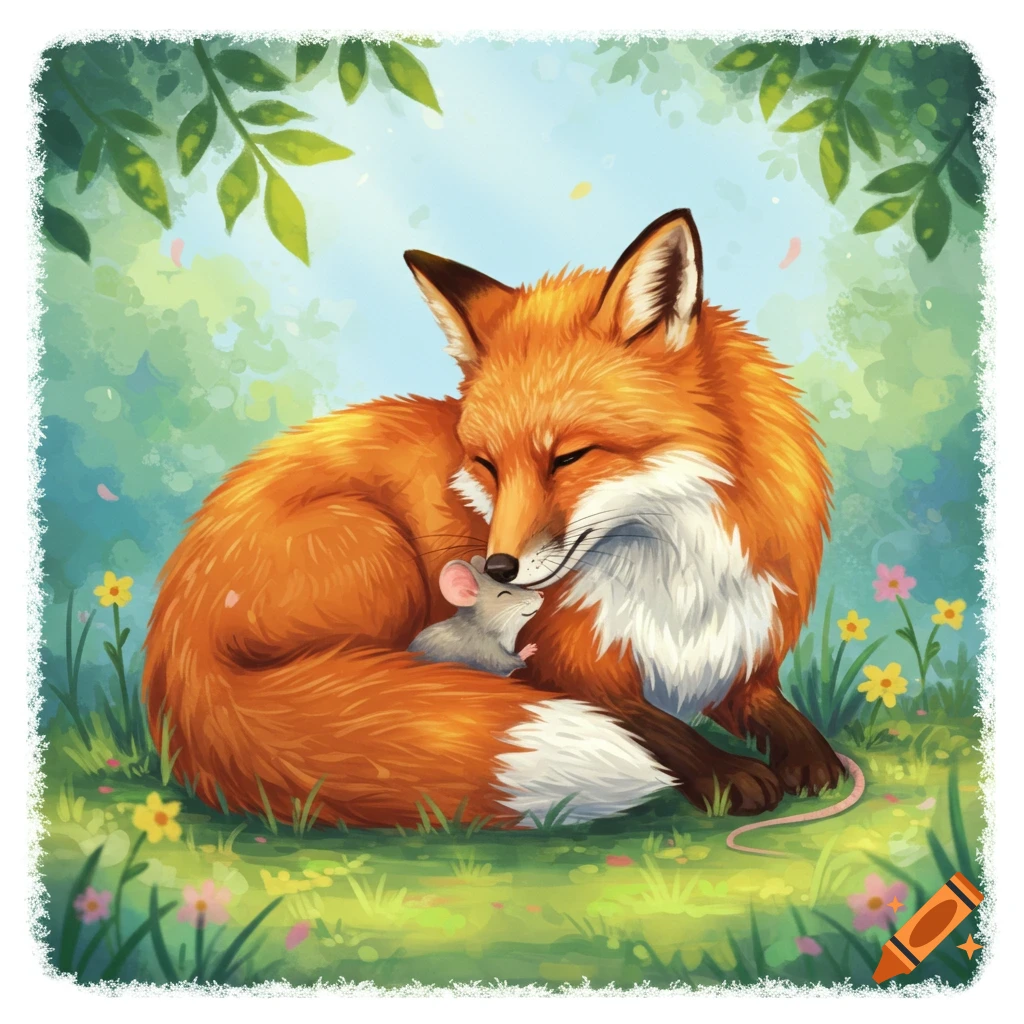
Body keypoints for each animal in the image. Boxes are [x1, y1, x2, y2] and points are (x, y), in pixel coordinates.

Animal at [142, 209, 843, 829]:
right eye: (486, 464)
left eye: (569, 457)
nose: (497, 566)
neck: (677, 579)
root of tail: (172, 645)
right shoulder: (572, 672)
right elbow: (655, 726)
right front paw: (724, 771)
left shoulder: (743, 658)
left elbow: (778, 713)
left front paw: (812, 758)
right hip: (379, 546)